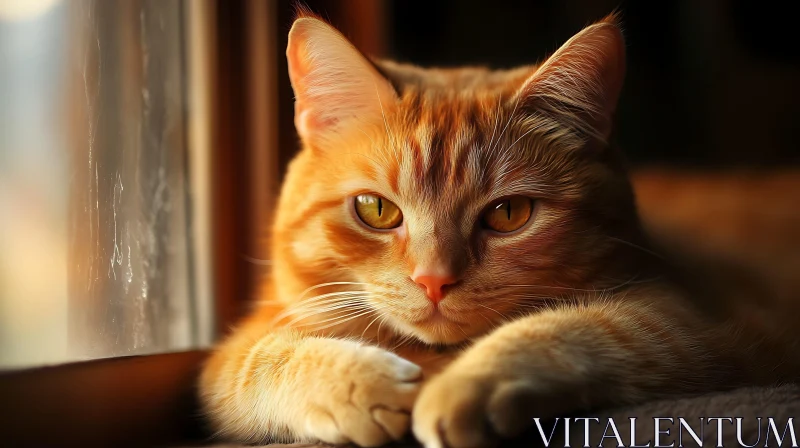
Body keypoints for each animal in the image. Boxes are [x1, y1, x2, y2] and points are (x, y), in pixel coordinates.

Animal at [198, 12, 800, 446]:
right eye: (375, 210)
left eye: (508, 215)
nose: (433, 280)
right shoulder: (245, 343)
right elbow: (262, 361)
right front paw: (361, 384)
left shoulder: (695, 322)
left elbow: (580, 327)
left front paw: (464, 385)